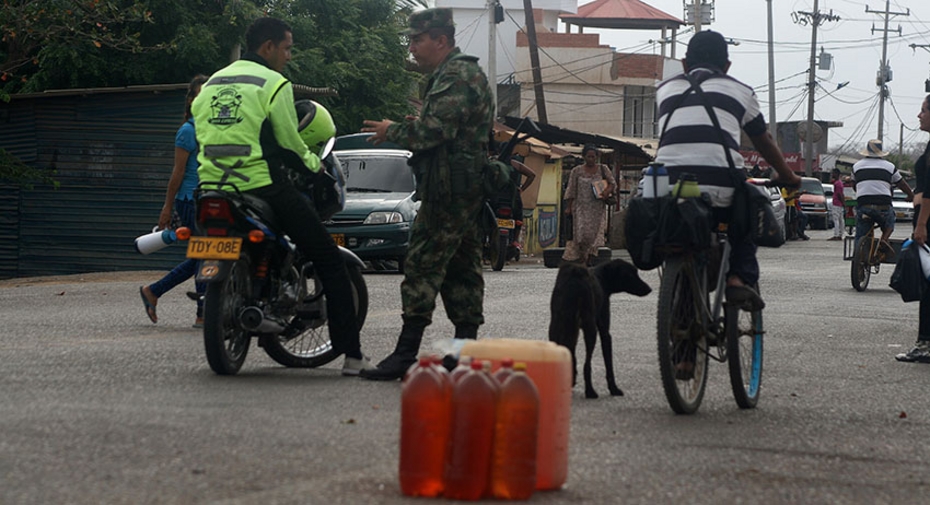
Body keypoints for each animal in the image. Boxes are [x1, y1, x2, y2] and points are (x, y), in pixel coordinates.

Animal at [548, 260, 648, 398]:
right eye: (631, 275)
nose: (649, 289)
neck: (602, 278)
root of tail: (575, 277)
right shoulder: (605, 332)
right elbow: (608, 364)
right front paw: (614, 389)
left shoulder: (572, 331)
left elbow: (572, 355)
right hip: (590, 329)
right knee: (587, 364)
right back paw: (590, 391)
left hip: (557, 327)